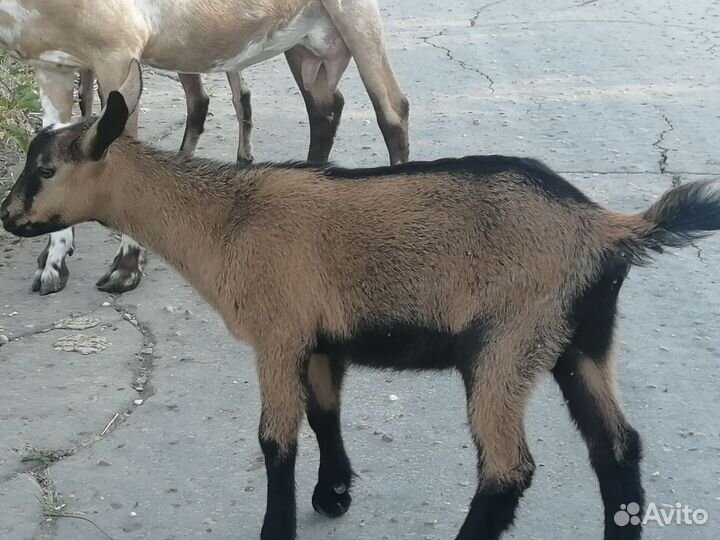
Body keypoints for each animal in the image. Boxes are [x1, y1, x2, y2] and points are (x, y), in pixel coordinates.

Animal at [0, 0, 408, 295]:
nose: (7, 216)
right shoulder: (50, 66)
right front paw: (52, 267)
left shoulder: (117, 52)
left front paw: (126, 270)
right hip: (304, 41)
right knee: (324, 108)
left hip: (355, 16)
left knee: (392, 111)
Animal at [4, 62, 719, 540]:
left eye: (45, 169)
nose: (9, 218)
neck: (228, 218)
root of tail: (602, 226)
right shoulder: (321, 337)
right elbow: (325, 415)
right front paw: (333, 495)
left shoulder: (278, 333)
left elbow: (276, 440)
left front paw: (278, 527)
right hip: (581, 340)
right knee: (617, 447)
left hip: (507, 341)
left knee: (507, 468)